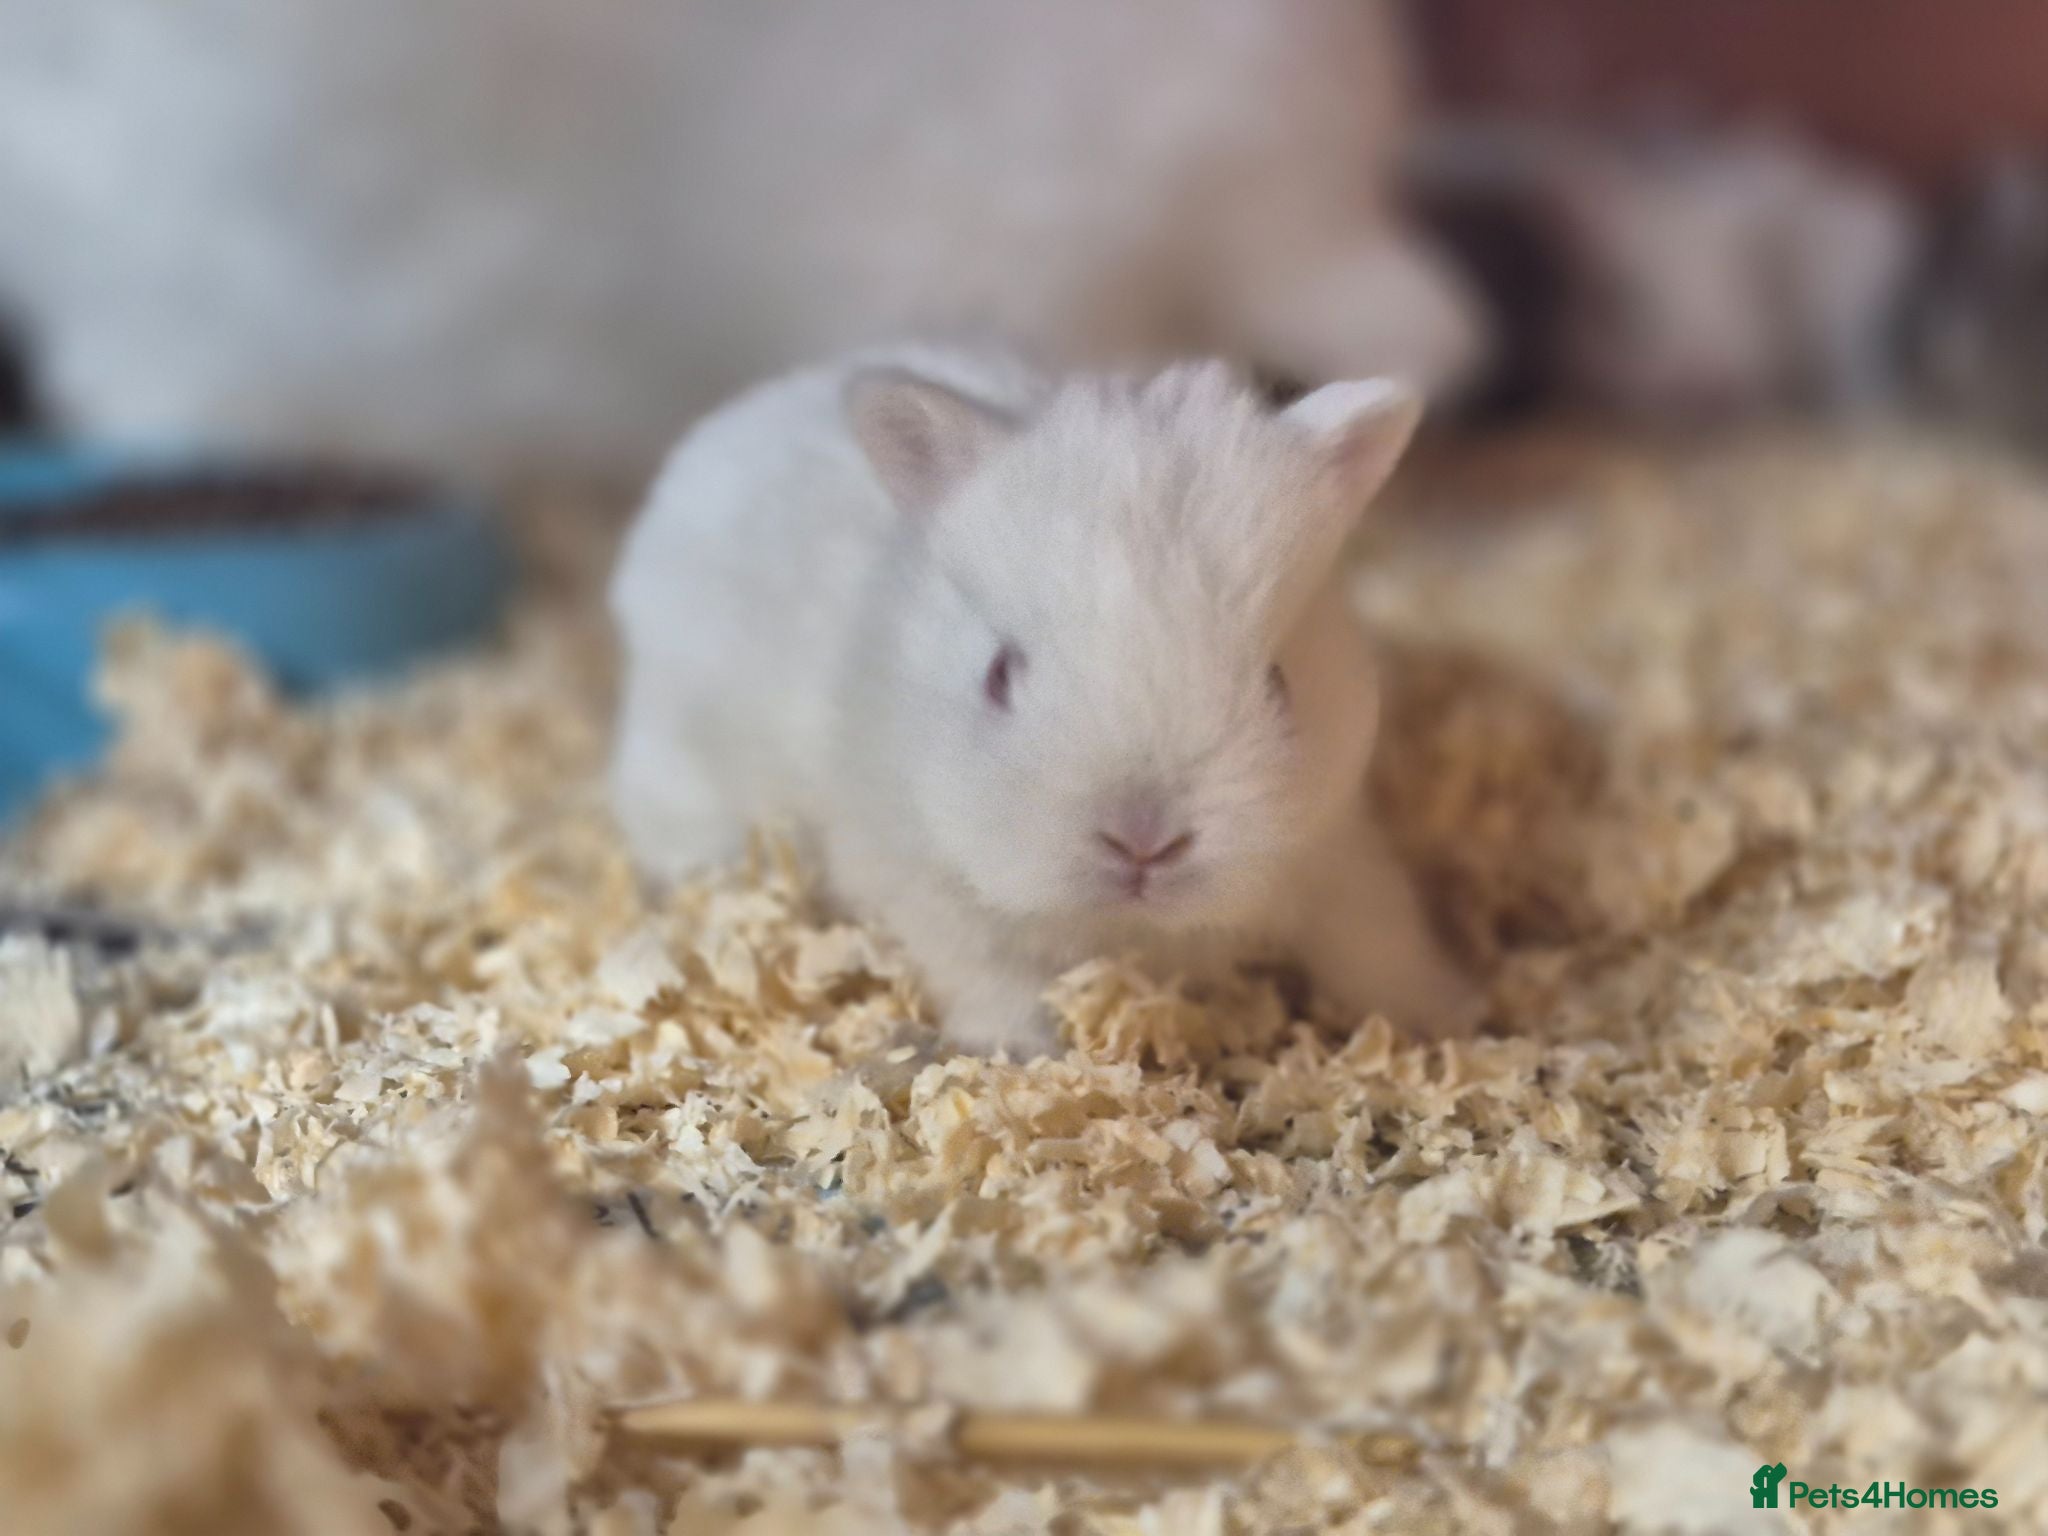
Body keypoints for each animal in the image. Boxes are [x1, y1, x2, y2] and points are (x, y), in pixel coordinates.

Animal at [609, 345, 1481, 1057]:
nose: (1143, 844)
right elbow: (989, 974)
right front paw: (1026, 1050)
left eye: (1278, 681)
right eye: (997, 675)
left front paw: (1443, 1017)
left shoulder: (1336, 849)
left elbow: (1377, 933)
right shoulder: (918, 880)